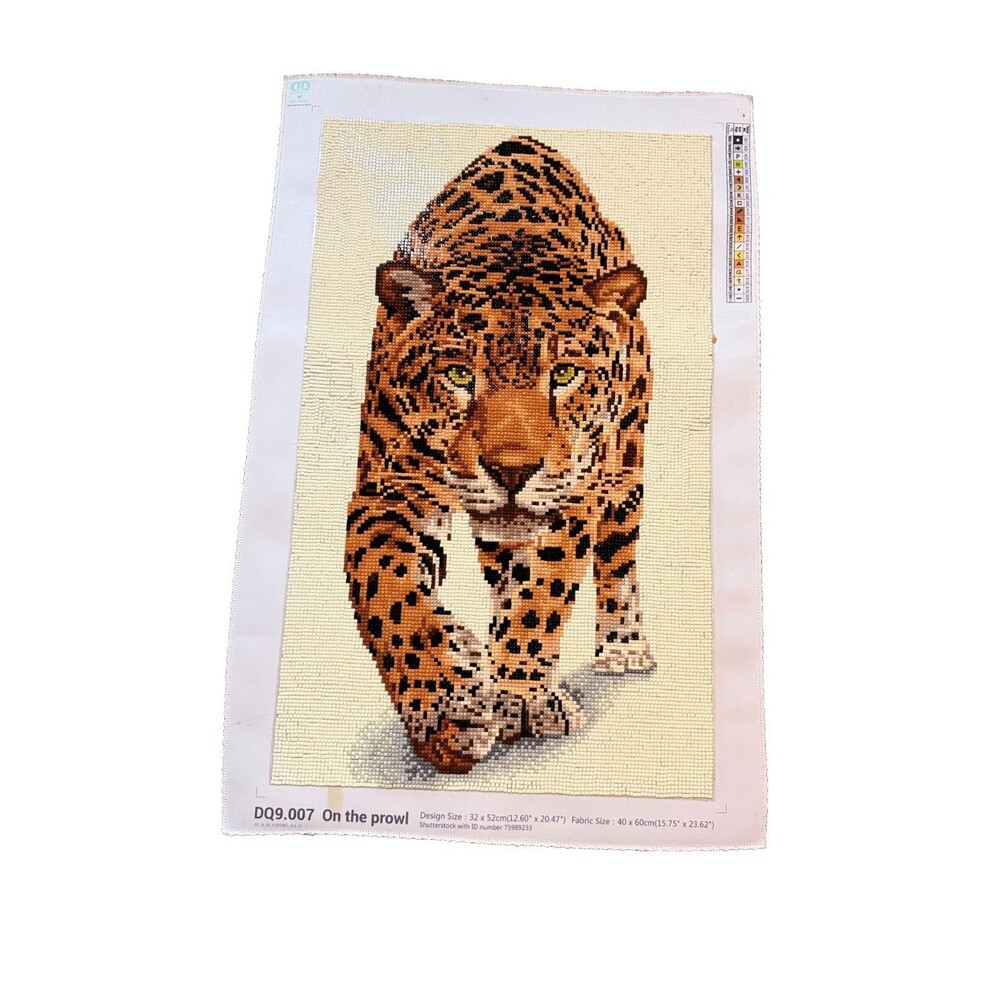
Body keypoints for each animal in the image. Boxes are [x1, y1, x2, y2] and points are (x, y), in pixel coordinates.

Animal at [345, 135, 655, 774]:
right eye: (460, 375)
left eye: (564, 375)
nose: (512, 471)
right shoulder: (390, 488)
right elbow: (387, 592)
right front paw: (448, 707)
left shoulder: (576, 491)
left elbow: (543, 591)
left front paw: (519, 696)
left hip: (626, 464)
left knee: (617, 556)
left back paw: (623, 647)